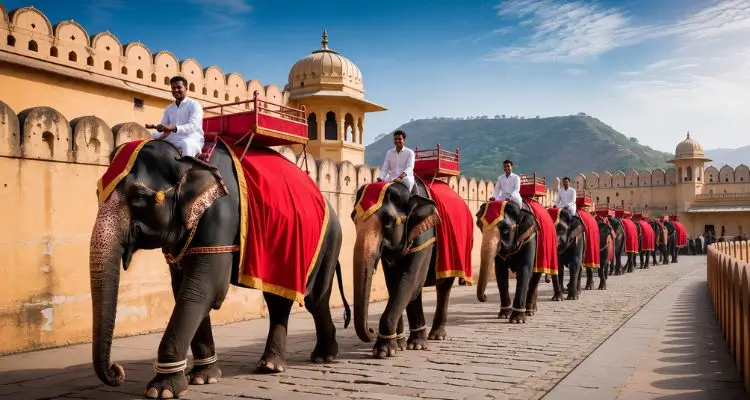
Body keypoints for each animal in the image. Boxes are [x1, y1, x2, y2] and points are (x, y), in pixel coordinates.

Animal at [89, 139, 350, 399]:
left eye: (139, 196)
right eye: (97, 193)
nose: (117, 371)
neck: (187, 159)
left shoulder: (222, 214)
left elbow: (203, 289)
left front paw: (162, 389)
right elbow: (184, 288)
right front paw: (202, 378)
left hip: (329, 240)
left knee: (315, 298)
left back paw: (323, 356)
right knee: (278, 299)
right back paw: (271, 365)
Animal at [350, 180, 450, 359]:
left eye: (388, 221)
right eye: (353, 218)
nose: (371, 330)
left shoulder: (426, 237)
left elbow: (409, 279)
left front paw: (383, 351)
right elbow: (394, 284)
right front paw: (399, 345)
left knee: (443, 286)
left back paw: (434, 337)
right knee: (417, 292)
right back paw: (416, 343)